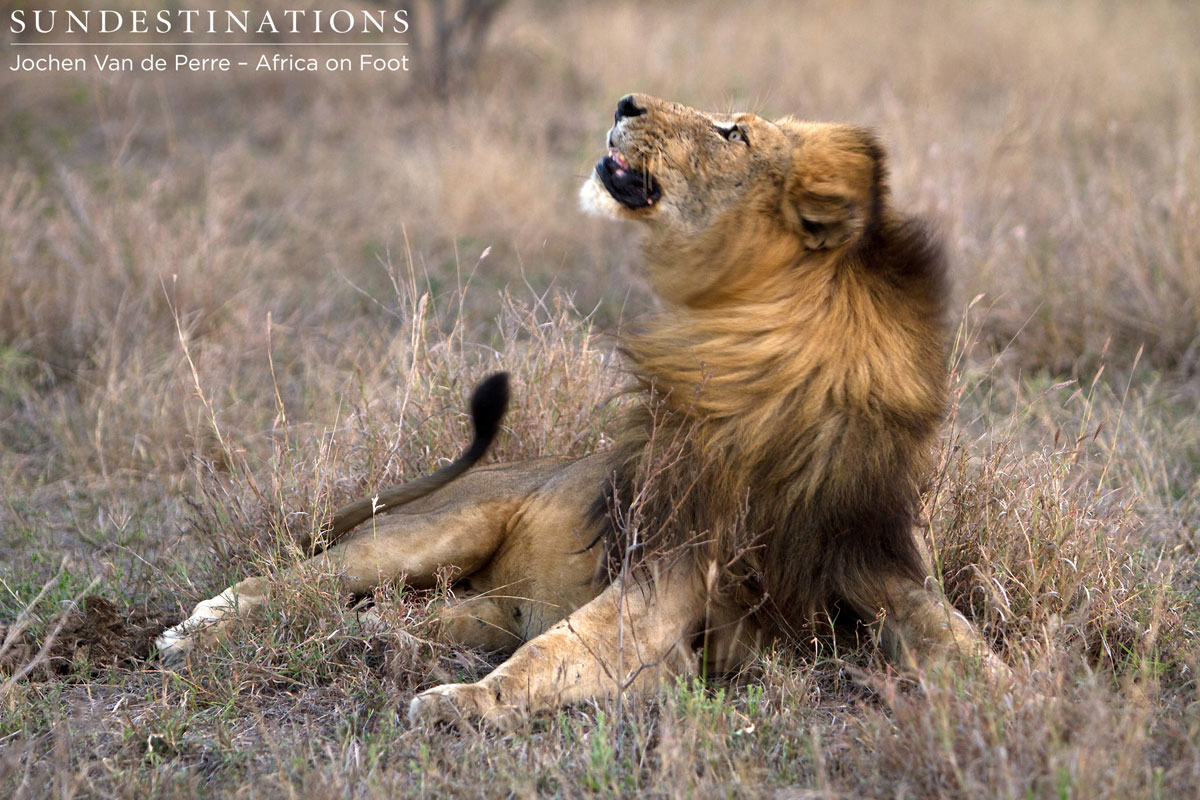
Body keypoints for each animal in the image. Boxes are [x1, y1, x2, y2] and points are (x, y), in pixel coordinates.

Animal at [156, 94, 1011, 726]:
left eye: (731, 131)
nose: (628, 100)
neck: (776, 368)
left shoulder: (875, 557)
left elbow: (967, 643)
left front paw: (1030, 704)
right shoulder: (667, 561)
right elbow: (563, 649)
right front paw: (463, 702)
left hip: (478, 607)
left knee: (382, 615)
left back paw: (375, 641)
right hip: (436, 528)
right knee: (291, 579)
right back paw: (196, 628)